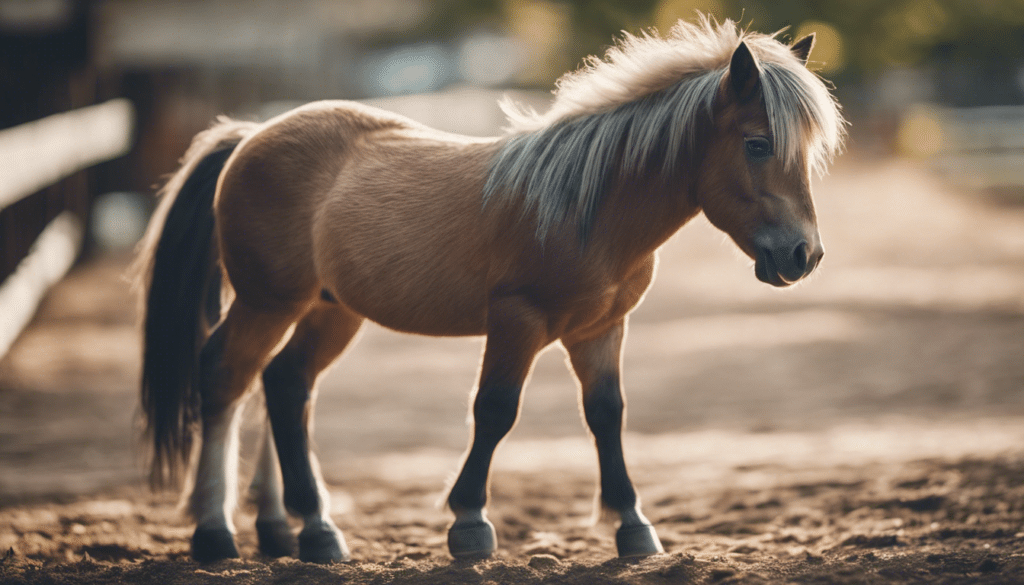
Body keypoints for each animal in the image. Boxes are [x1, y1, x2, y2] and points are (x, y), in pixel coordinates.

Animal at [134, 18, 839, 565]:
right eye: (757, 144)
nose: (802, 256)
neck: (586, 207)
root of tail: (249, 136)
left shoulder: (601, 329)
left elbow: (607, 414)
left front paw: (632, 526)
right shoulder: (517, 320)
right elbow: (495, 410)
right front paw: (469, 523)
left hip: (328, 311)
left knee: (283, 385)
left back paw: (301, 530)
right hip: (269, 303)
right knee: (226, 377)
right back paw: (217, 532)